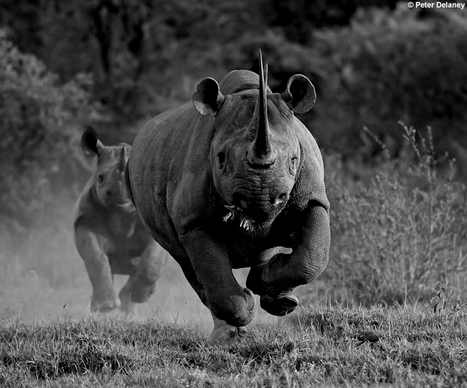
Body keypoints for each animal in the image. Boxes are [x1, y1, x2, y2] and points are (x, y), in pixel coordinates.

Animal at [73, 127, 168, 316]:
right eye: (100, 177)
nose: (118, 194)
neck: (122, 213)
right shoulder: (85, 222)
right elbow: (95, 256)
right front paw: (106, 306)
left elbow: (152, 258)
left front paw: (140, 295)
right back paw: (103, 307)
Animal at [126, 53, 330, 340]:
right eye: (220, 159)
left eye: (293, 160)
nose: (260, 198)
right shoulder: (194, 221)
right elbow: (212, 271)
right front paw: (245, 307)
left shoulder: (312, 199)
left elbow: (312, 257)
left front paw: (266, 285)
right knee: (188, 264)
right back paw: (229, 332)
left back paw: (279, 301)